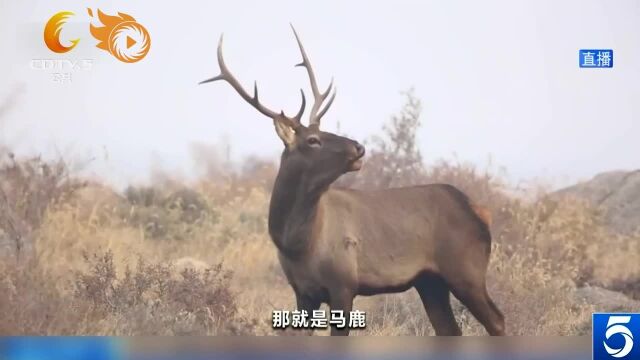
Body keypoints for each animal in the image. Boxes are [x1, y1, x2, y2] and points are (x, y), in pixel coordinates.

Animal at [200, 26, 504, 338]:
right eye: (313, 139)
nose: (359, 147)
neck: (297, 243)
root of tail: (479, 210)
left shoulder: (344, 284)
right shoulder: (302, 292)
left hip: (466, 269)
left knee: (497, 320)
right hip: (430, 281)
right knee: (450, 329)